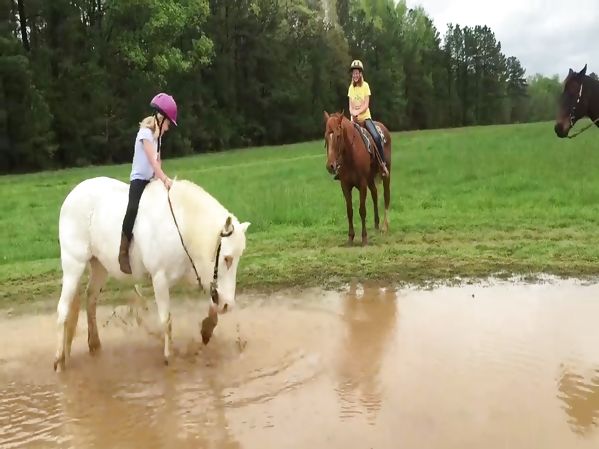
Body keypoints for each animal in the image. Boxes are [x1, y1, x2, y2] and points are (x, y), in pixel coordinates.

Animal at [54, 176, 250, 371]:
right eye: (227, 258)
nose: (228, 305)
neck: (181, 227)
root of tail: (73, 194)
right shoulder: (159, 278)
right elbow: (166, 319)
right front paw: (169, 357)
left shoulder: (194, 273)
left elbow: (212, 305)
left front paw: (206, 330)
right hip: (73, 263)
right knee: (63, 308)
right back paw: (59, 360)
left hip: (100, 265)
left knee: (91, 299)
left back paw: (94, 345)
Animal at [323, 111, 392, 245]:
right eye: (326, 136)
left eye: (338, 136)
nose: (330, 166)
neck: (350, 154)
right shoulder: (345, 185)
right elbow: (350, 211)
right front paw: (350, 237)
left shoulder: (362, 184)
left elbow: (362, 210)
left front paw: (364, 237)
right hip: (370, 178)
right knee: (375, 194)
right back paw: (376, 225)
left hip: (385, 174)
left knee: (386, 196)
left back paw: (384, 226)